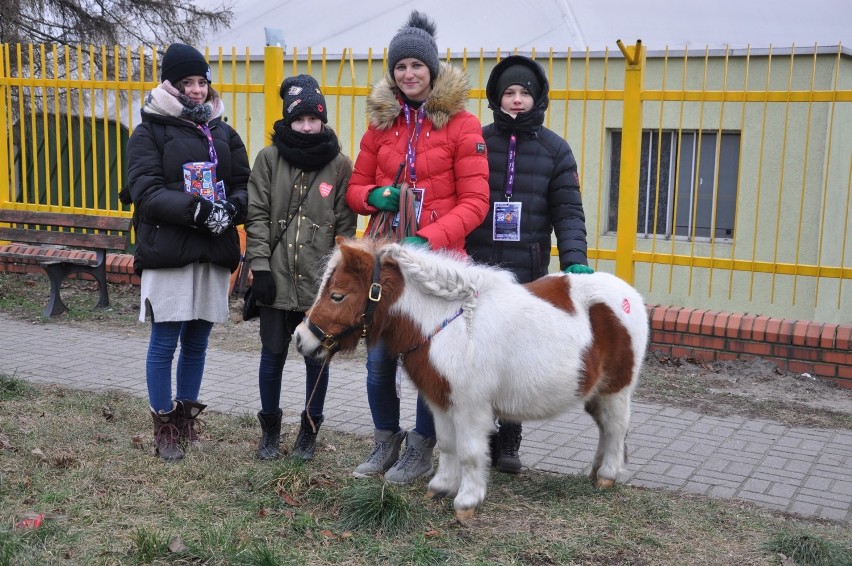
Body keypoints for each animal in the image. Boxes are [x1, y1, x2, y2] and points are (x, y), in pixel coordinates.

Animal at [296, 237, 648, 520]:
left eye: (338, 296)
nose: (300, 339)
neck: (444, 324)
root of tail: (629, 294)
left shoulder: (470, 408)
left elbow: (469, 451)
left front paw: (467, 501)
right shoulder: (440, 401)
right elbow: (448, 445)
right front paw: (441, 486)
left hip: (617, 389)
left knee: (616, 428)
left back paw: (607, 475)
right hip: (596, 393)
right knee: (605, 428)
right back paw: (595, 470)